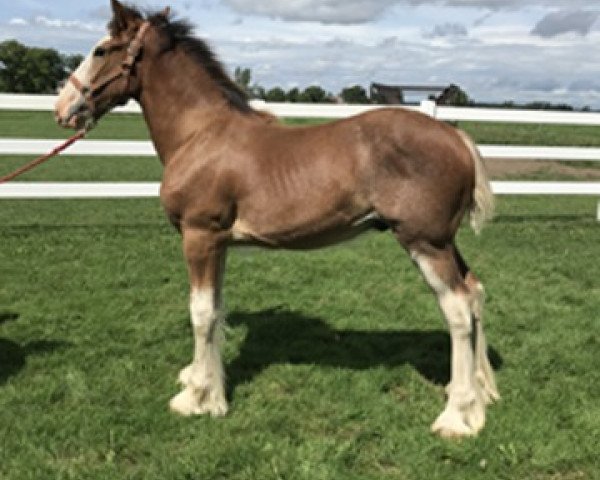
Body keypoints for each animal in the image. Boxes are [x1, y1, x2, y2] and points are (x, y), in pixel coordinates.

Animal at [55, 0, 496, 438]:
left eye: (100, 50)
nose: (62, 108)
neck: (200, 135)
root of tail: (455, 136)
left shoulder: (199, 237)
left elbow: (200, 313)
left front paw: (196, 398)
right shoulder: (218, 244)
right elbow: (215, 309)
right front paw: (206, 384)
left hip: (425, 243)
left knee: (457, 309)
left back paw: (456, 416)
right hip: (444, 242)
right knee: (474, 292)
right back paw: (478, 393)